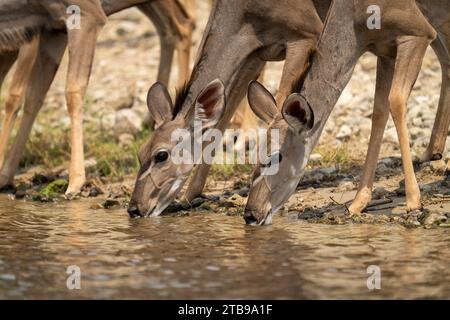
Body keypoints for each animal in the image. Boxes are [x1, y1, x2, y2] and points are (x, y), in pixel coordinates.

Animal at [0, 0, 194, 198]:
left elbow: (70, 90)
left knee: (182, 25)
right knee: (171, 28)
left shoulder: (87, 17)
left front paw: (75, 182)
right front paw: (5, 176)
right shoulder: (53, 30)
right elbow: (34, 95)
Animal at [126, 0, 330, 218]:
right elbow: (223, 115)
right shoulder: (254, 55)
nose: (134, 208)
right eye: (141, 152)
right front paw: (188, 197)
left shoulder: (306, 36)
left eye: (161, 155)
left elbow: (281, 102)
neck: (244, 11)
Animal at [244, 0, 448, 225]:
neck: (355, 15)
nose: (250, 214)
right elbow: (379, 112)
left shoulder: (418, 34)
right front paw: (357, 203)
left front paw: (413, 201)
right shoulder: (385, 52)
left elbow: (395, 101)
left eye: (275, 157)